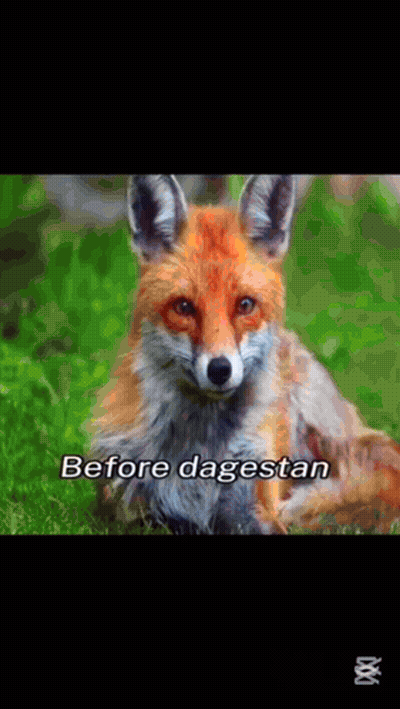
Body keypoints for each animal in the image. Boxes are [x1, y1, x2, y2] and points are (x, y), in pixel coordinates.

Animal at [90, 175, 400, 534]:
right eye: (183, 307)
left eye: (246, 305)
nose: (219, 369)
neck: (203, 449)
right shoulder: (129, 509)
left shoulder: (255, 505)